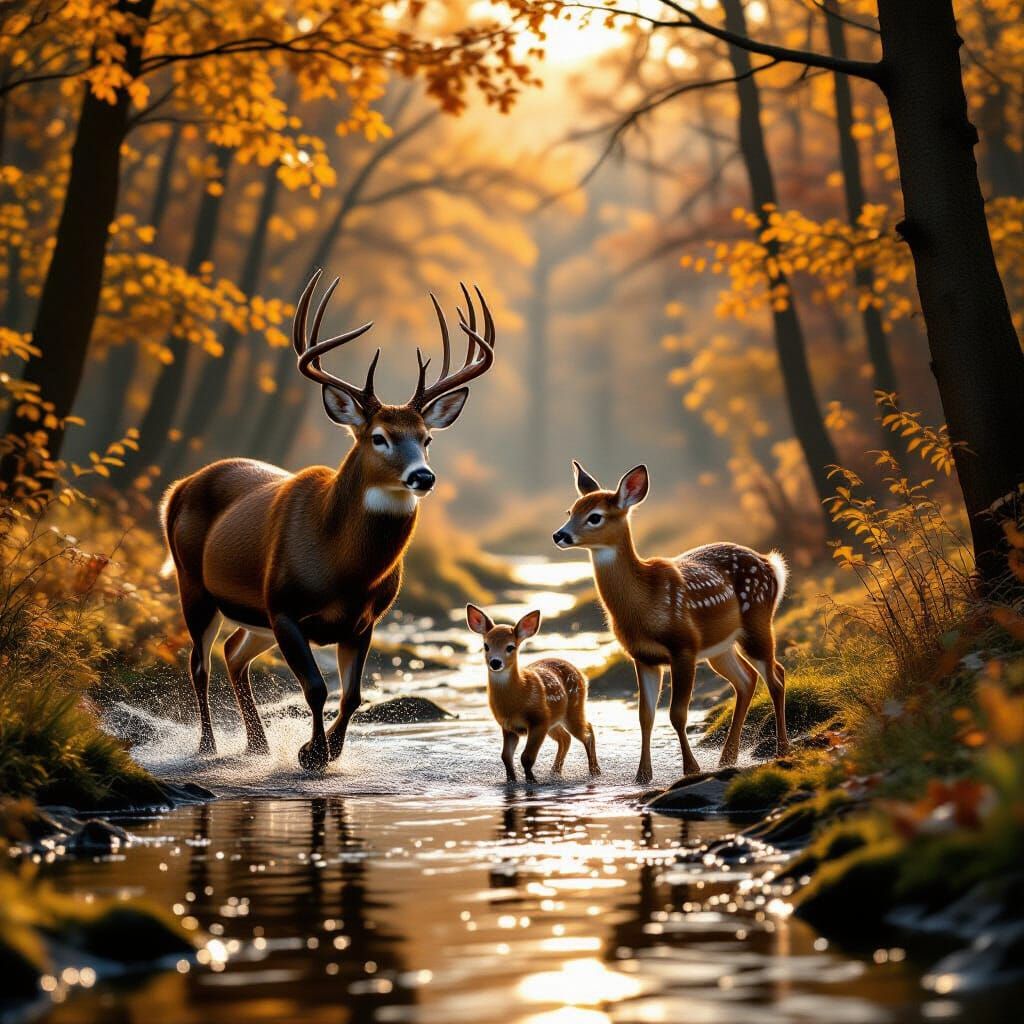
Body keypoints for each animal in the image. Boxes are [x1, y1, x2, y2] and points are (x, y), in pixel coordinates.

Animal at [161, 268, 497, 772]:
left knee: (232, 652)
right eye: (378, 437)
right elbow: (317, 689)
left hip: (252, 616)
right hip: (194, 584)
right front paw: (311, 754)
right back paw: (208, 746)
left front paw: (326, 752)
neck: (342, 570)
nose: (423, 476)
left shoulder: (364, 621)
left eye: (426, 438)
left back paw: (257, 746)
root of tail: (177, 488)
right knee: (199, 663)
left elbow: (353, 695)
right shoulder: (283, 606)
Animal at [466, 604, 600, 783]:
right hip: (555, 721)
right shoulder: (508, 726)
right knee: (566, 738)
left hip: (573, 710)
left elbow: (527, 757)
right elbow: (506, 757)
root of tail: (582, 674)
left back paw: (595, 771)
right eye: (486, 645)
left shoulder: (539, 720)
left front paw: (532, 781)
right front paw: (512, 781)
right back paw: (555, 772)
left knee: (587, 731)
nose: (495, 662)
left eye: (510, 647)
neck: (515, 702)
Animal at [552, 462, 789, 786]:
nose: (559, 535)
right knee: (747, 679)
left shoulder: (683, 647)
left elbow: (677, 714)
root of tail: (771, 564)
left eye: (595, 516)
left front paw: (691, 768)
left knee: (776, 676)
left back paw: (781, 749)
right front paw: (642, 775)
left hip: (757, 622)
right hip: (719, 648)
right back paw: (727, 758)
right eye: (571, 511)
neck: (644, 603)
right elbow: (645, 716)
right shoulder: (643, 656)